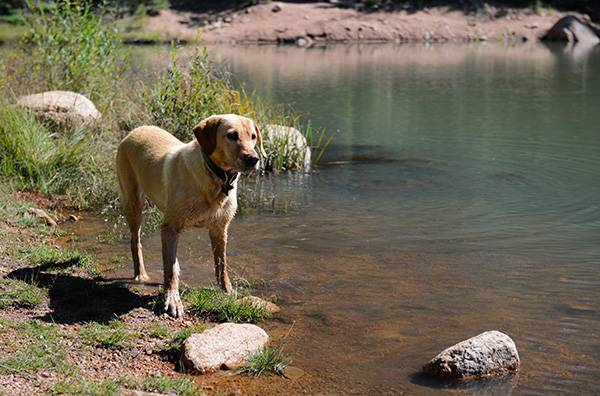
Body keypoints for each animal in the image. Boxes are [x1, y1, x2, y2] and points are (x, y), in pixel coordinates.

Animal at [116, 113, 264, 316]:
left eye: (253, 136)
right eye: (232, 135)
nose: (253, 159)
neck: (215, 178)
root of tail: (135, 130)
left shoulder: (220, 229)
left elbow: (221, 266)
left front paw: (227, 292)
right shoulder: (169, 229)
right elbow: (169, 270)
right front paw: (172, 300)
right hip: (133, 203)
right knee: (135, 241)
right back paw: (141, 275)